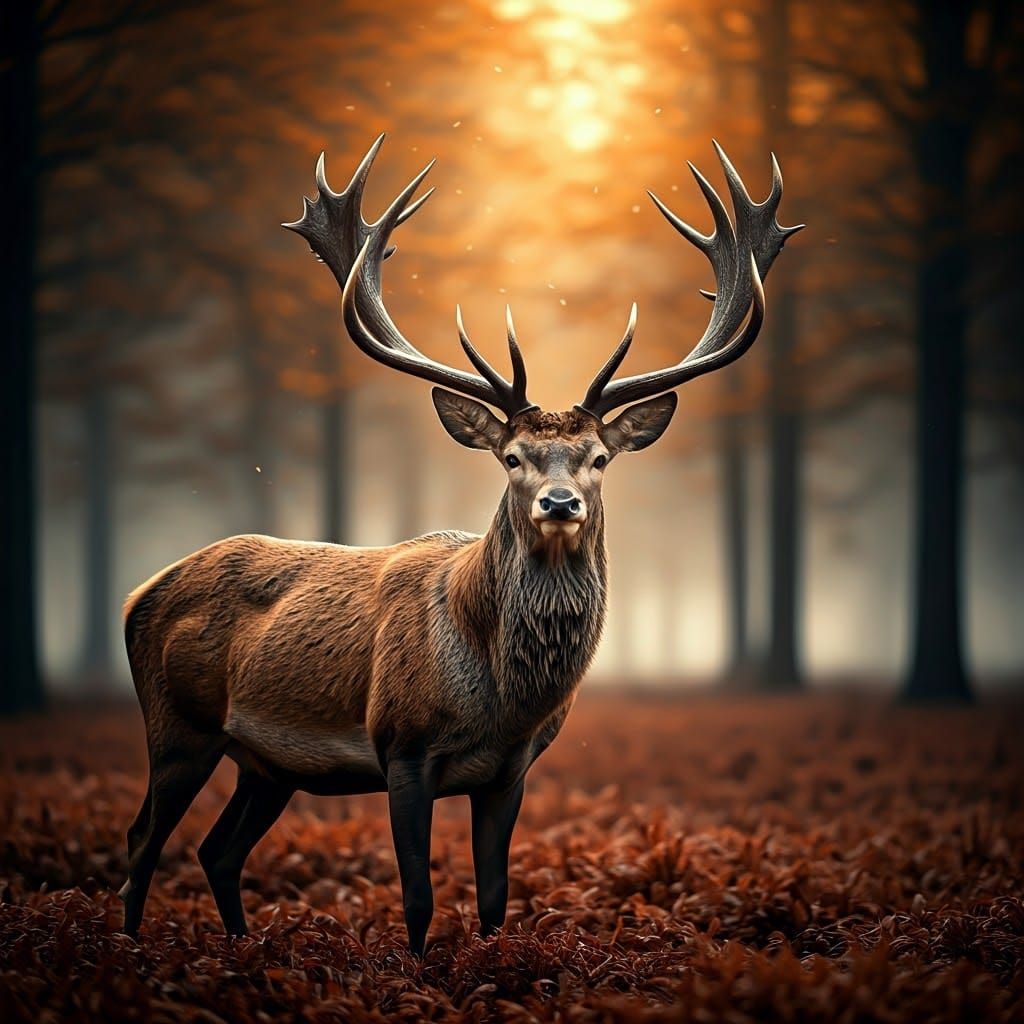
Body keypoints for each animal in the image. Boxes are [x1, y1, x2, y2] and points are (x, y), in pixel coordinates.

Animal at [119, 135, 800, 956]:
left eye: (599, 457)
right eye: (511, 457)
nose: (560, 503)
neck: (501, 698)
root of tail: (139, 594)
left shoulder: (511, 771)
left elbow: (495, 899)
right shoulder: (402, 747)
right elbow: (417, 898)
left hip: (267, 765)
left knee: (217, 850)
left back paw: (239, 948)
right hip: (177, 724)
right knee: (142, 839)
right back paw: (127, 946)